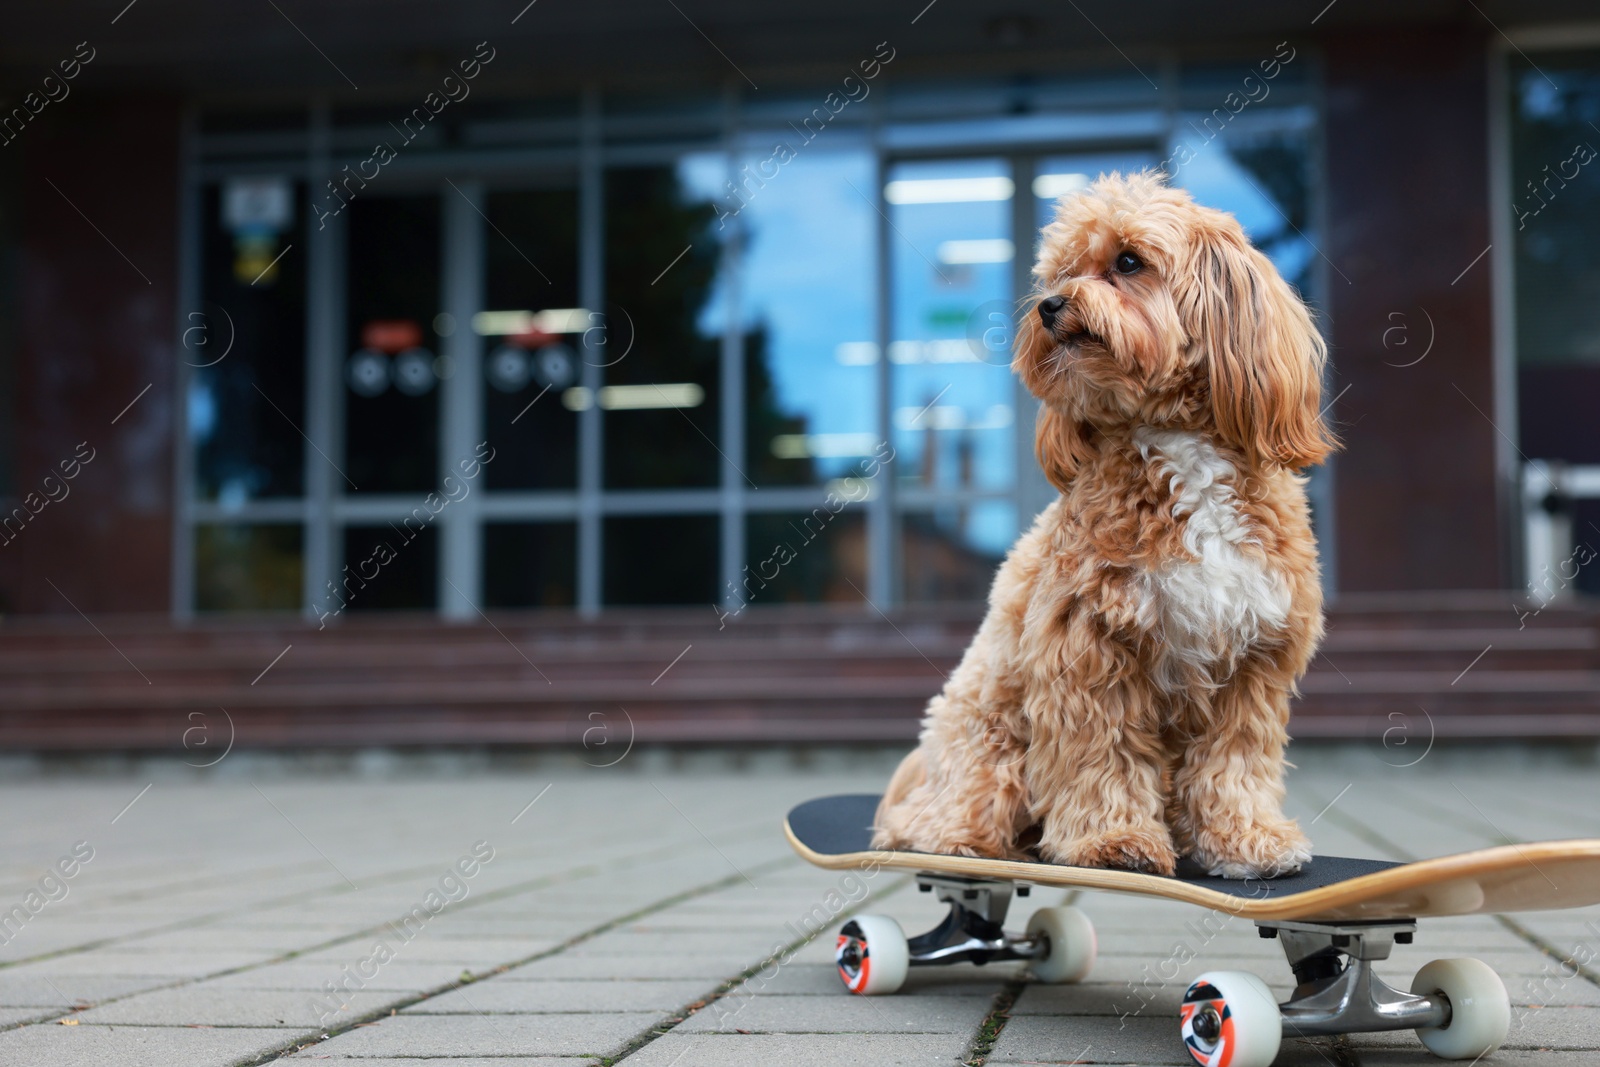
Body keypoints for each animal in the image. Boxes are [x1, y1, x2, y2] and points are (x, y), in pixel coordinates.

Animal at [876, 171, 1337, 883]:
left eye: (1128, 262)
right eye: (1061, 272)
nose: (1049, 306)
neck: (1174, 441)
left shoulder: (1255, 657)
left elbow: (1234, 759)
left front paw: (1245, 840)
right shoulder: (1087, 647)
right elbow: (1103, 751)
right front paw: (1112, 840)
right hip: (989, 741)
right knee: (942, 815)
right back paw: (962, 840)